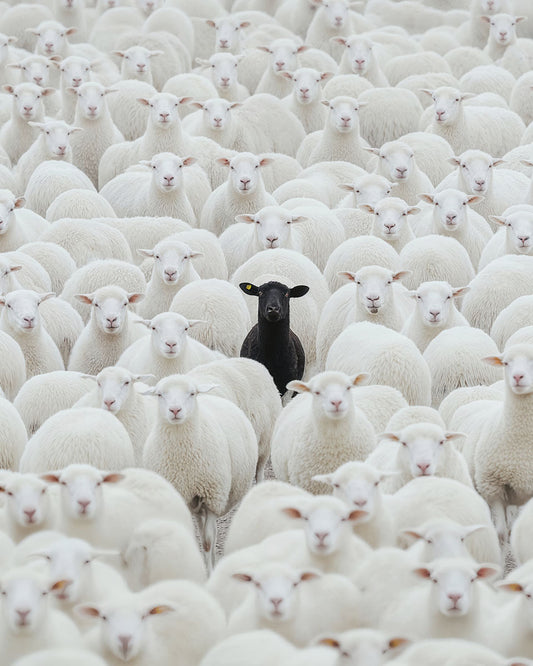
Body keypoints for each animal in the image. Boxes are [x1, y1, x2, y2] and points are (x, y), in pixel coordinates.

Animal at [143, 374, 257, 569]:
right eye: (159, 394)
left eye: (192, 393)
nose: (175, 410)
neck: (184, 463)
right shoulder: (183, 497)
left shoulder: (212, 498)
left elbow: (208, 542)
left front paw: (209, 570)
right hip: (194, 504)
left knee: (211, 535)